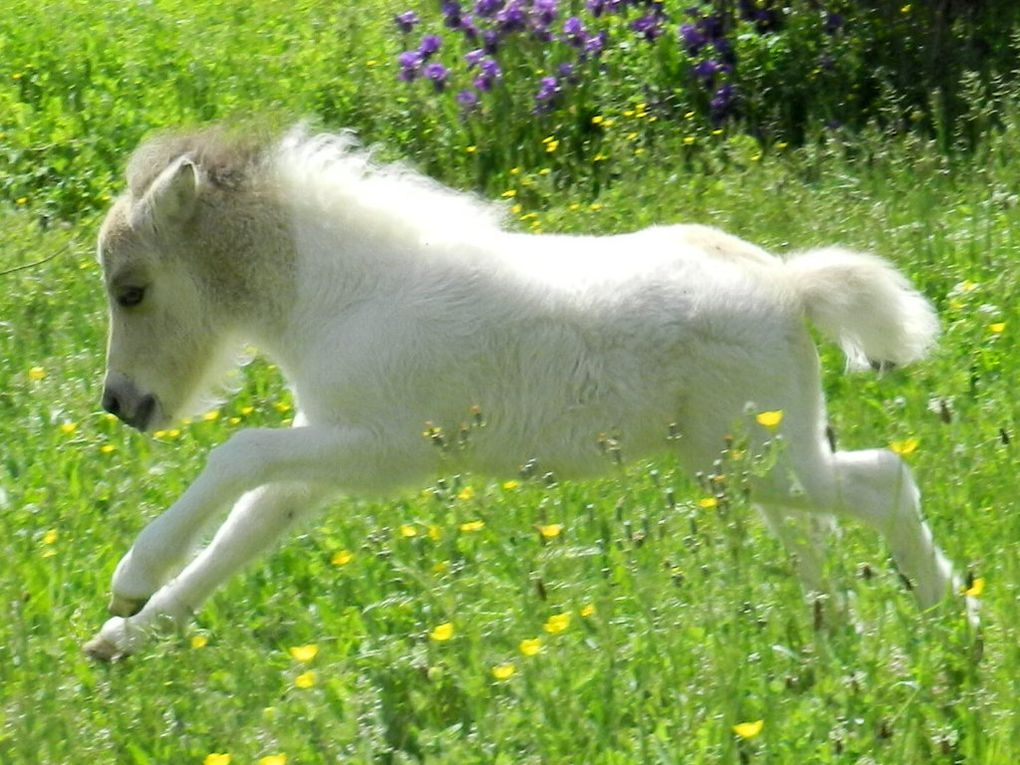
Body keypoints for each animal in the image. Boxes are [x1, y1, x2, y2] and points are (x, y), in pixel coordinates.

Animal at [81, 124, 971, 660]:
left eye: (131, 290)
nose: (120, 403)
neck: (344, 291)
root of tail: (789, 284)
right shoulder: (327, 450)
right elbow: (245, 530)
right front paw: (124, 636)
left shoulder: (384, 449)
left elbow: (239, 455)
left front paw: (131, 575)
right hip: (754, 454)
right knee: (816, 525)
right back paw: (838, 631)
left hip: (752, 458)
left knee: (883, 480)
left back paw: (953, 621)